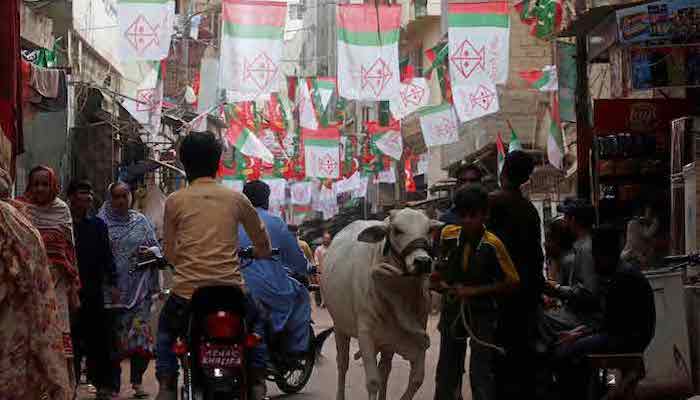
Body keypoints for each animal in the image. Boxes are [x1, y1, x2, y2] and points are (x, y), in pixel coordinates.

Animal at [320, 209, 440, 400]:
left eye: (429, 230)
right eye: (397, 230)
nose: (422, 261)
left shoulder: (417, 334)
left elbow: (416, 380)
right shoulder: (365, 334)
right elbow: (373, 381)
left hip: (386, 341)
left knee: (385, 369)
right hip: (339, 327)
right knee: (343, 364)